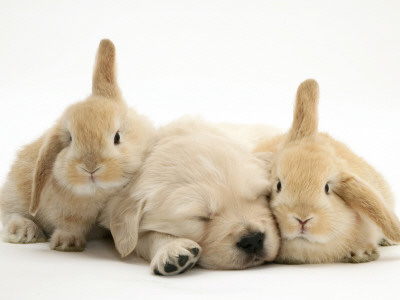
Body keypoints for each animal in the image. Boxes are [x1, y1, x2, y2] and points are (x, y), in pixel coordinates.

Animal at [0, 39, 155, 251]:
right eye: (71, 139)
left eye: (117, 137)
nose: (90, 167)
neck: (99, 194)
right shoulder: (67, 213)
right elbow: (70, 224)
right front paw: (67, 243)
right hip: (15, 191)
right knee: (9, 213)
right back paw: (24, 231)